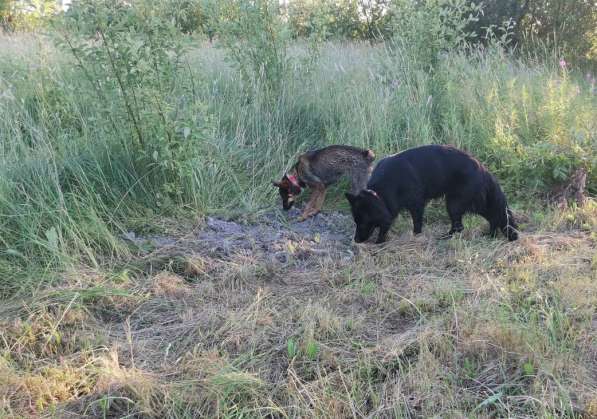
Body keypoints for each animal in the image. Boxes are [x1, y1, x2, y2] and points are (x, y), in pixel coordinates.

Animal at [344, 144, 516, 243]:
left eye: (363, 222)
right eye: (356, 221)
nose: (356, 240)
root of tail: (481, 168)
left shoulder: (416, 203)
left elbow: (416, 223)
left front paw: (415, 236)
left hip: (455, 203)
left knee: (462, 225)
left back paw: (445, 237)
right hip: (470, 202)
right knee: (492, 216)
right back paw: (491, 235)